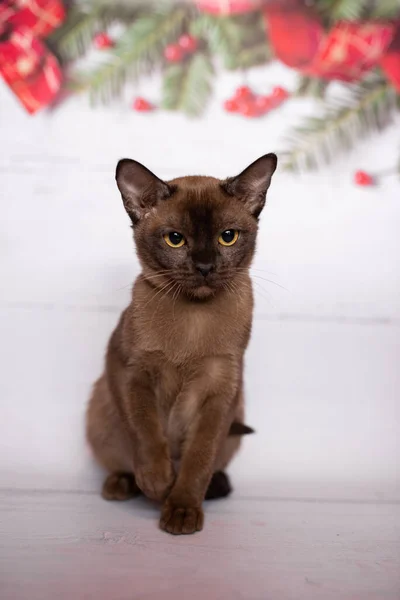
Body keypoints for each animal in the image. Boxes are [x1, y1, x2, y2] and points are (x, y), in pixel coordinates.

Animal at [86, 154, 276, 536]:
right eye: (175, 239)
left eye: (227, 237)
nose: (204, 266)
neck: (194, 318)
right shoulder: (131, 371)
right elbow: (145, 430)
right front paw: (158, 481)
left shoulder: (221, 389)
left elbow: (198, 458)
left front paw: (182, 510)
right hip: (99, 407)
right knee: (120, 460)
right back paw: (125, 485)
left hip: (237, 413)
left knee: (213, 466)